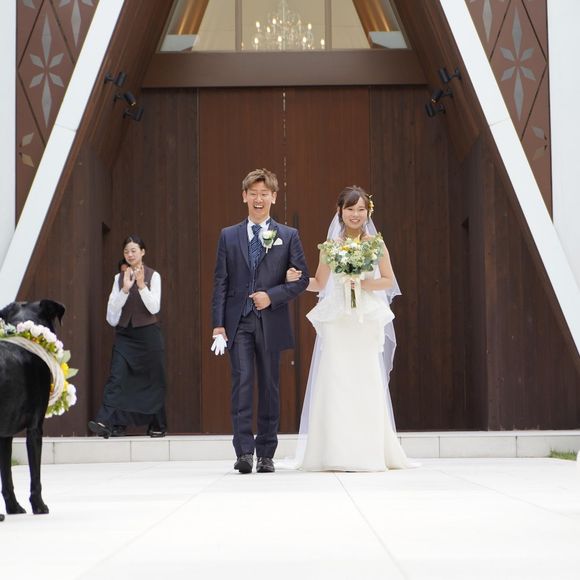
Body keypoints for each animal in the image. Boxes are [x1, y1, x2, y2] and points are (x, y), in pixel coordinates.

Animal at [0, 300, 65, 519]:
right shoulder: (35, 428)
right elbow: (35, 475)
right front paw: (39, 506)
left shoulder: (5, 436)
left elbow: (7, 477)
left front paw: (13, 508)